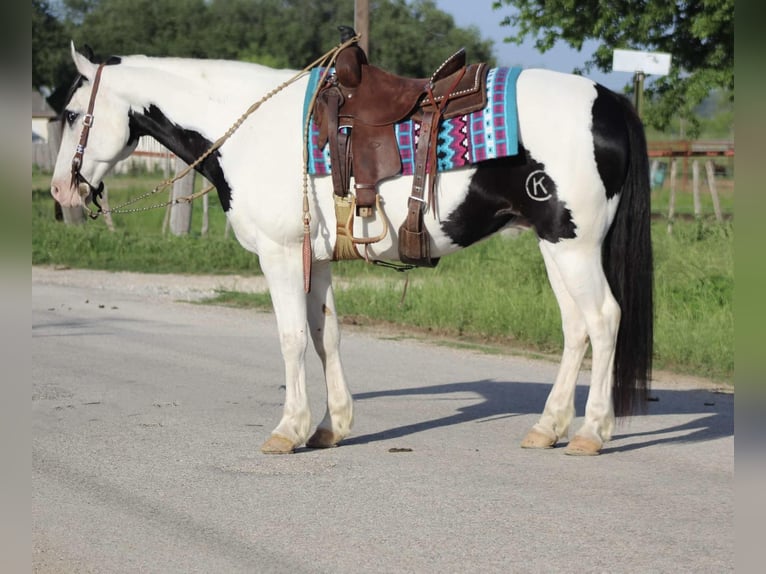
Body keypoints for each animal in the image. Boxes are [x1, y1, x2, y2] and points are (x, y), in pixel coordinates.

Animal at [49, 40, 656, 456]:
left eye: (74, 115)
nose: (59, 192)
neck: (254, 133)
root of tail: (608, 100)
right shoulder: (314, 258)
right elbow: (327, 336)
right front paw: (330, 426)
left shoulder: (280, 254)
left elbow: (292, 338)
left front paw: (288, 429)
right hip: (556, 246)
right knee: (576, 328)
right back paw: (548, 427)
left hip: (575, 246)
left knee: (604, 319)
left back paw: (591, 432)